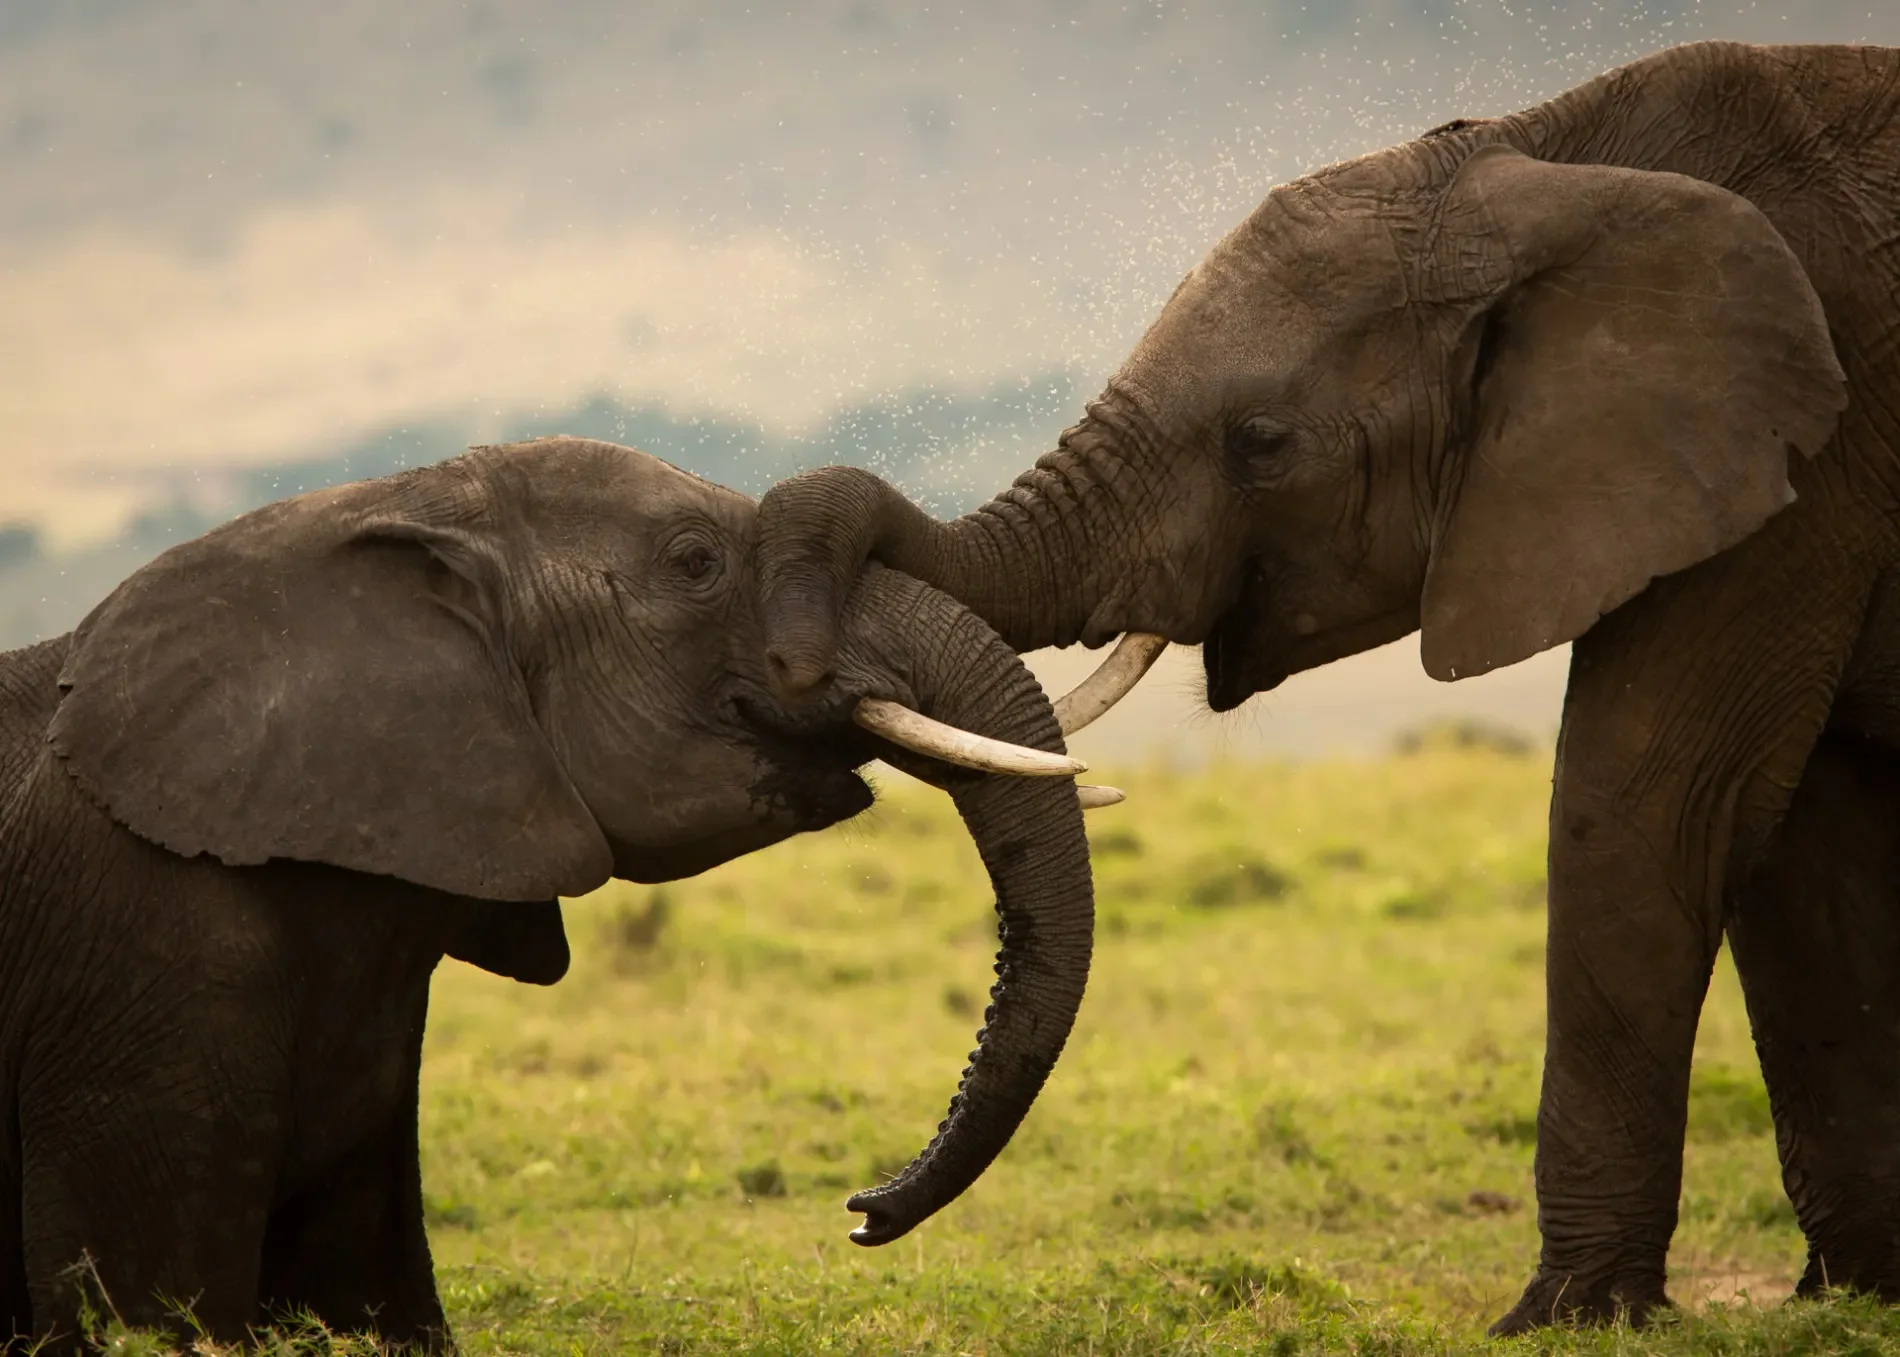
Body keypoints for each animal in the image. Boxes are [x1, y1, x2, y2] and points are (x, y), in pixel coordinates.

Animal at [748, 42, 1900, 1330]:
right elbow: (1798, 847)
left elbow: (1656, 799)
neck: (1547, 157)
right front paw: (1852, 1297)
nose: (858, 1212)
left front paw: (1563, 1317)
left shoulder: (1791, 459)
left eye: (1261, 441)